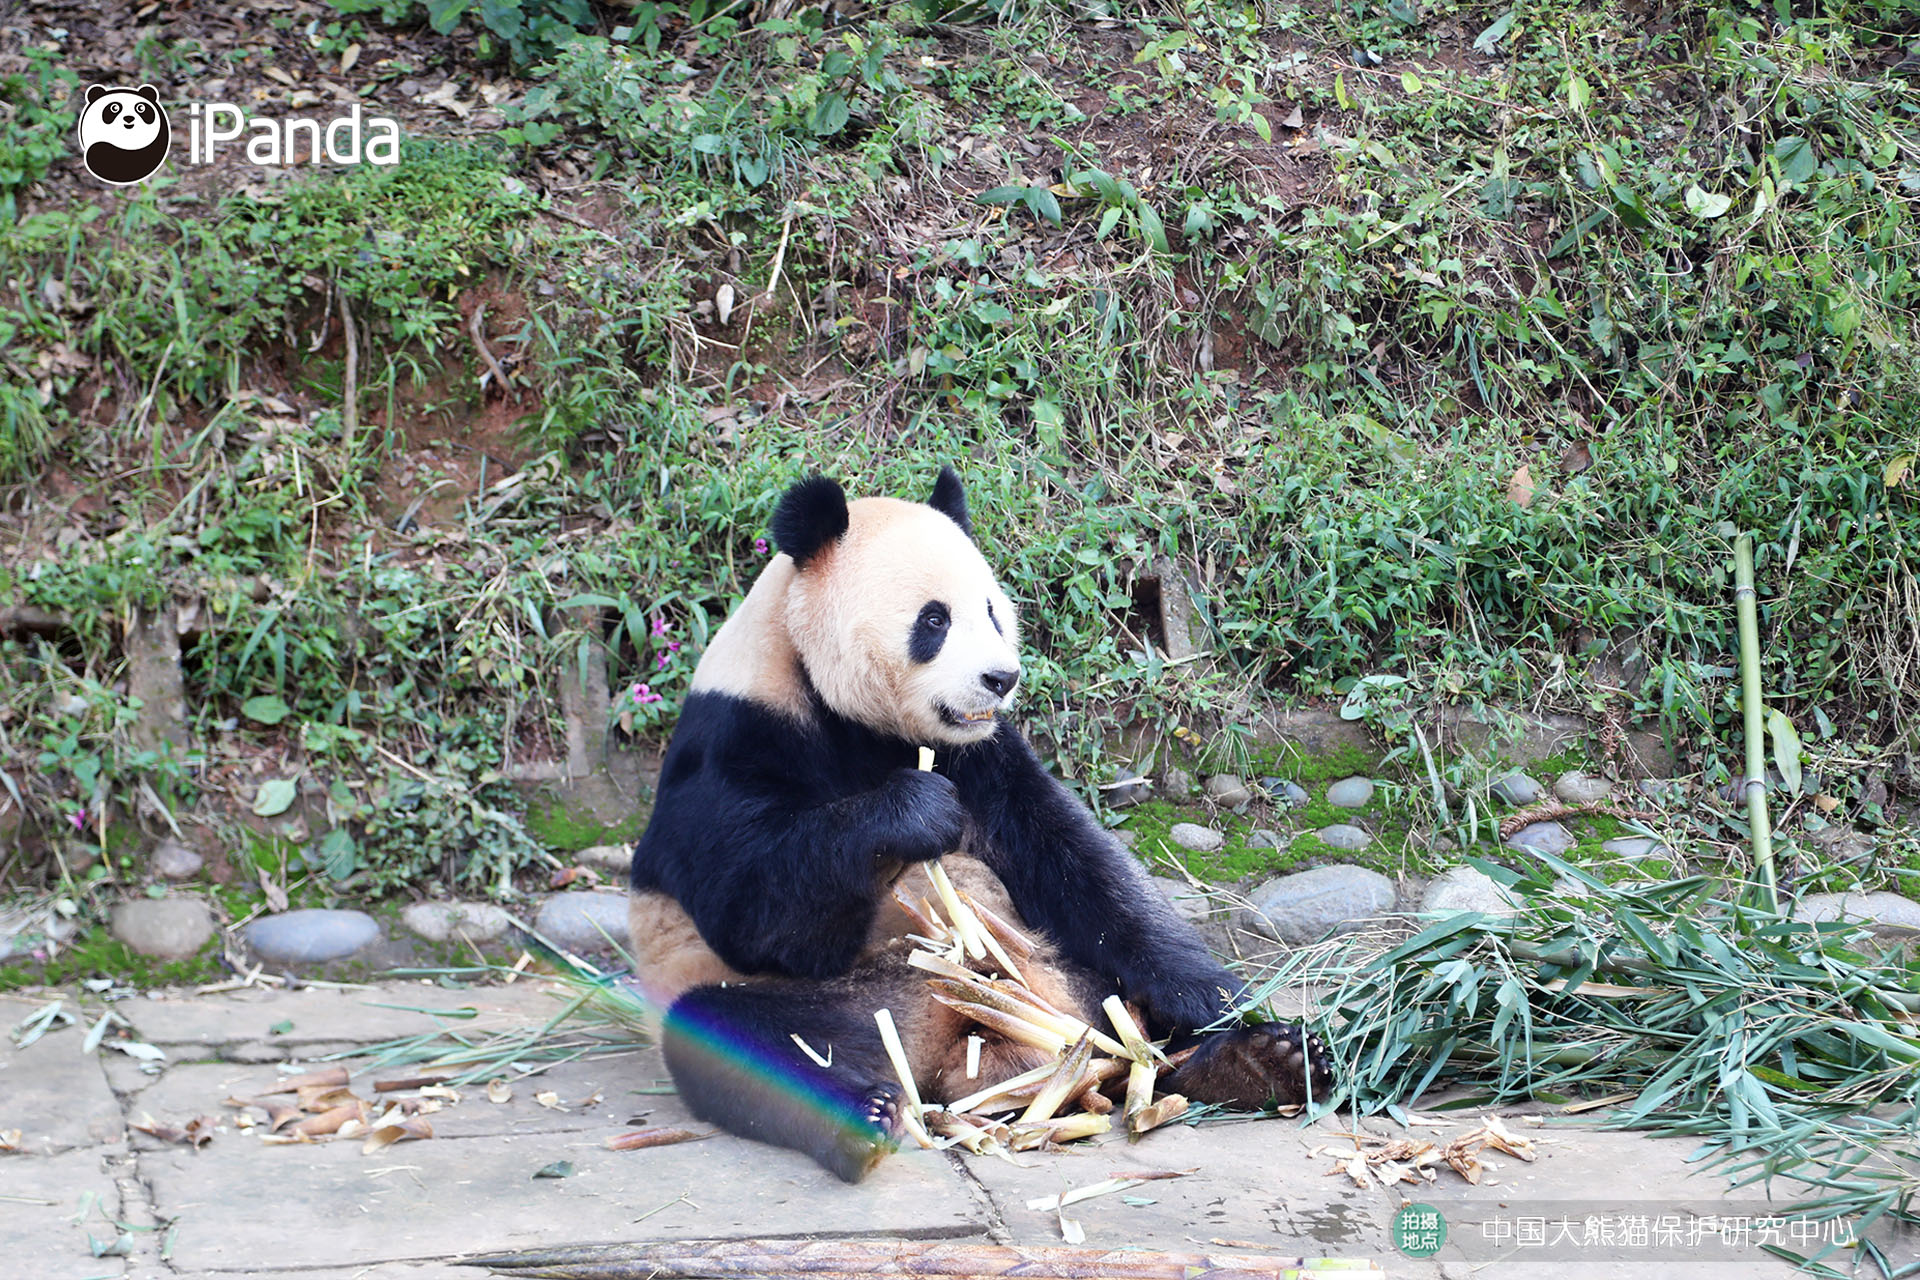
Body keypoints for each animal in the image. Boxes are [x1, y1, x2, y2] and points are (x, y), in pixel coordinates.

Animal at [629, 468, 1336, 1182]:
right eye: (934, 620)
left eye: (994, 611)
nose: (1001, 678)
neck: (837, 703)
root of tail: (951, 1047)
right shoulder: (736, 737)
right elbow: (757, 913)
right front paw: (916, 813)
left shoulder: (982, 754)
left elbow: (1082, 869)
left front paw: (1232, 1006)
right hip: (804, 1000)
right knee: (743, 1045)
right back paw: (863, 1115)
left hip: (1068, 978)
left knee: (1119, 1012)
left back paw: (1253, 1063)